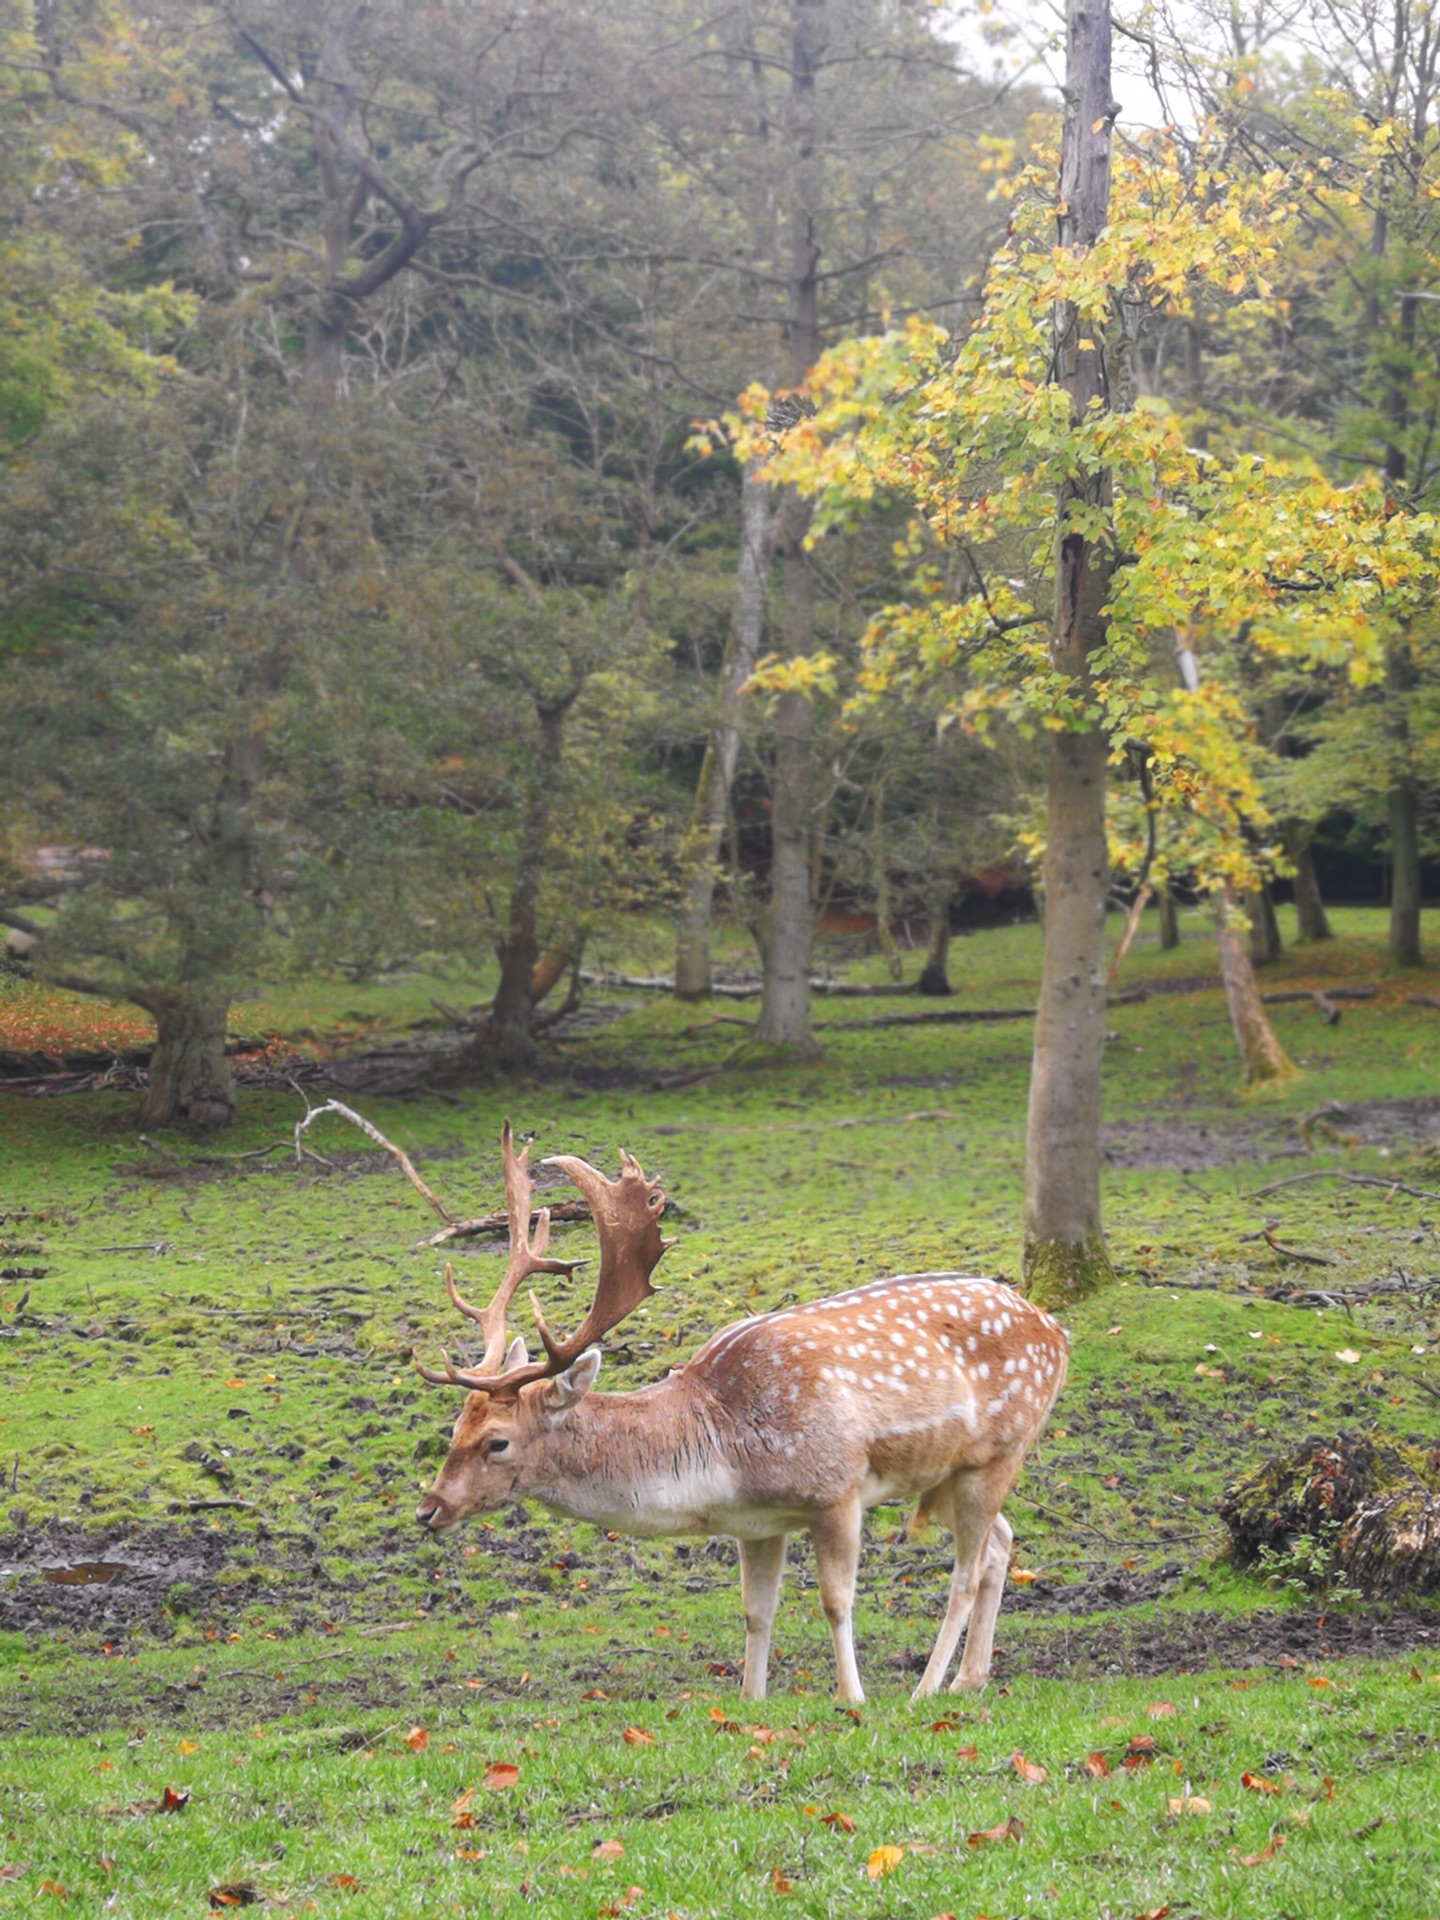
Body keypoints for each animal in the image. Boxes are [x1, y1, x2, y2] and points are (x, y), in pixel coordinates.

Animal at [416, 1121, 1075, 1704]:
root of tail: (1057, 1330)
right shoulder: (758, 1525)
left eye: (496, 1441)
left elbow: (836, 1600)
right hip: (956, 1470)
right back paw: (970, 1680)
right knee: (1001, 1542)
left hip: (1002, 1448)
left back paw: (926, 1688)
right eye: (455, 1427)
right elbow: (757, 1611)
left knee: (967, 1569)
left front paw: (852, 1697)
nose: (428, 1509)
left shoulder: (836, 1489)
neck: (726, 1456)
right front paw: (751, 1697)